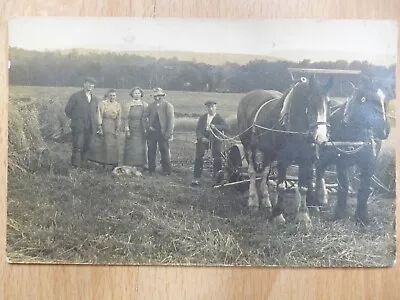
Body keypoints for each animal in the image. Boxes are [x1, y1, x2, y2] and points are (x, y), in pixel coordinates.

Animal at [236, 76, 332, 229]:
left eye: (329, 103)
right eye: (310, 102)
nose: (321, 138)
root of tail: (249, 96)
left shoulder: (307, 160)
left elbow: (303, 187)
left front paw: (303, 217)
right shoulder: (282, 159)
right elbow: (281, 186)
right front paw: (278, 216)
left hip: (268, 152)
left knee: (264, 173)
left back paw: (266, 202)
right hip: (248, 146)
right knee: (252, 172)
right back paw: (253, 202)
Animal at [316, 78, 390, 224]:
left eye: (383, 100)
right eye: (363, 99)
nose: (384, 130)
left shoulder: (370, 164)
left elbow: (364, 188)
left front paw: (362, 216)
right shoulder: (341, 162)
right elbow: (343, 186)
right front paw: (339, 213)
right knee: (319, 172)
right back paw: (317, 199)